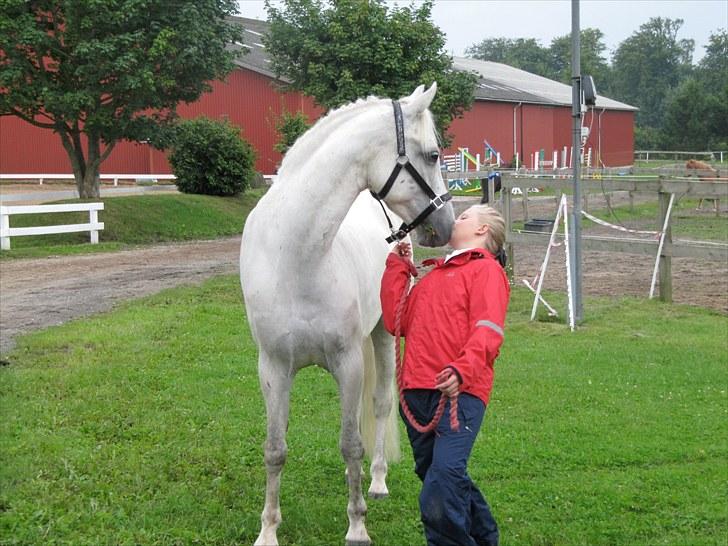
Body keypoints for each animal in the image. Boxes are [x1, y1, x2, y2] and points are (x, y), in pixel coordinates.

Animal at [242, 83, 452, 540]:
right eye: (431, 155)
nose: (446, 224)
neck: (298, 258)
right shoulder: (273, 368)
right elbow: (275, 448)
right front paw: (268, 530)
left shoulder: (349, 361)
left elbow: (352, 442)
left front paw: (357, 526)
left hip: (382, 338)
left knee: (378, 406)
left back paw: (375, 482)